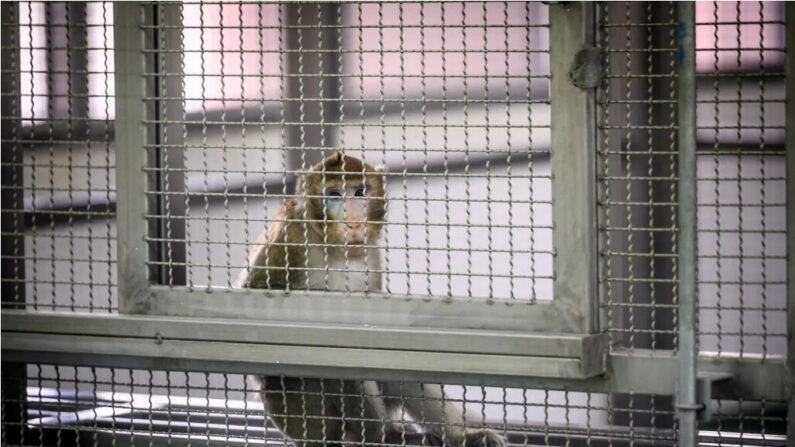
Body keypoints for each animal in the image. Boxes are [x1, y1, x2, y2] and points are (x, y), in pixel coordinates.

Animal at [235, 153, 504, 447]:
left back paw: (460, 436)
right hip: (305, 416)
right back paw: (384, 436)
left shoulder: (371, 254)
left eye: (360, 192)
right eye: (334, 195)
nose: (353, 222)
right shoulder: (289, 238)